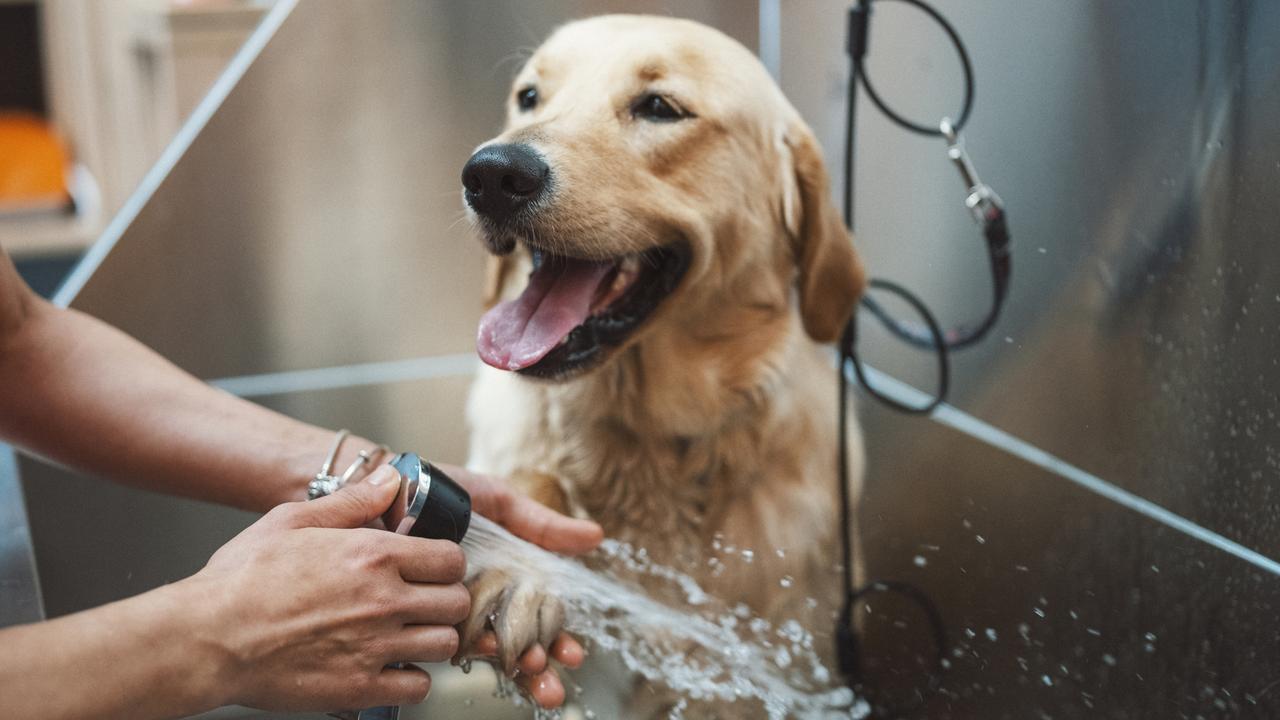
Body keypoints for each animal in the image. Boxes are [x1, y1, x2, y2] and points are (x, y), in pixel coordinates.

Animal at [460, 14, 870, 712]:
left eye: (659, 108)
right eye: (529, 97)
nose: (490, 174)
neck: (644, 442)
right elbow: (527, 481)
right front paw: (520, 566)